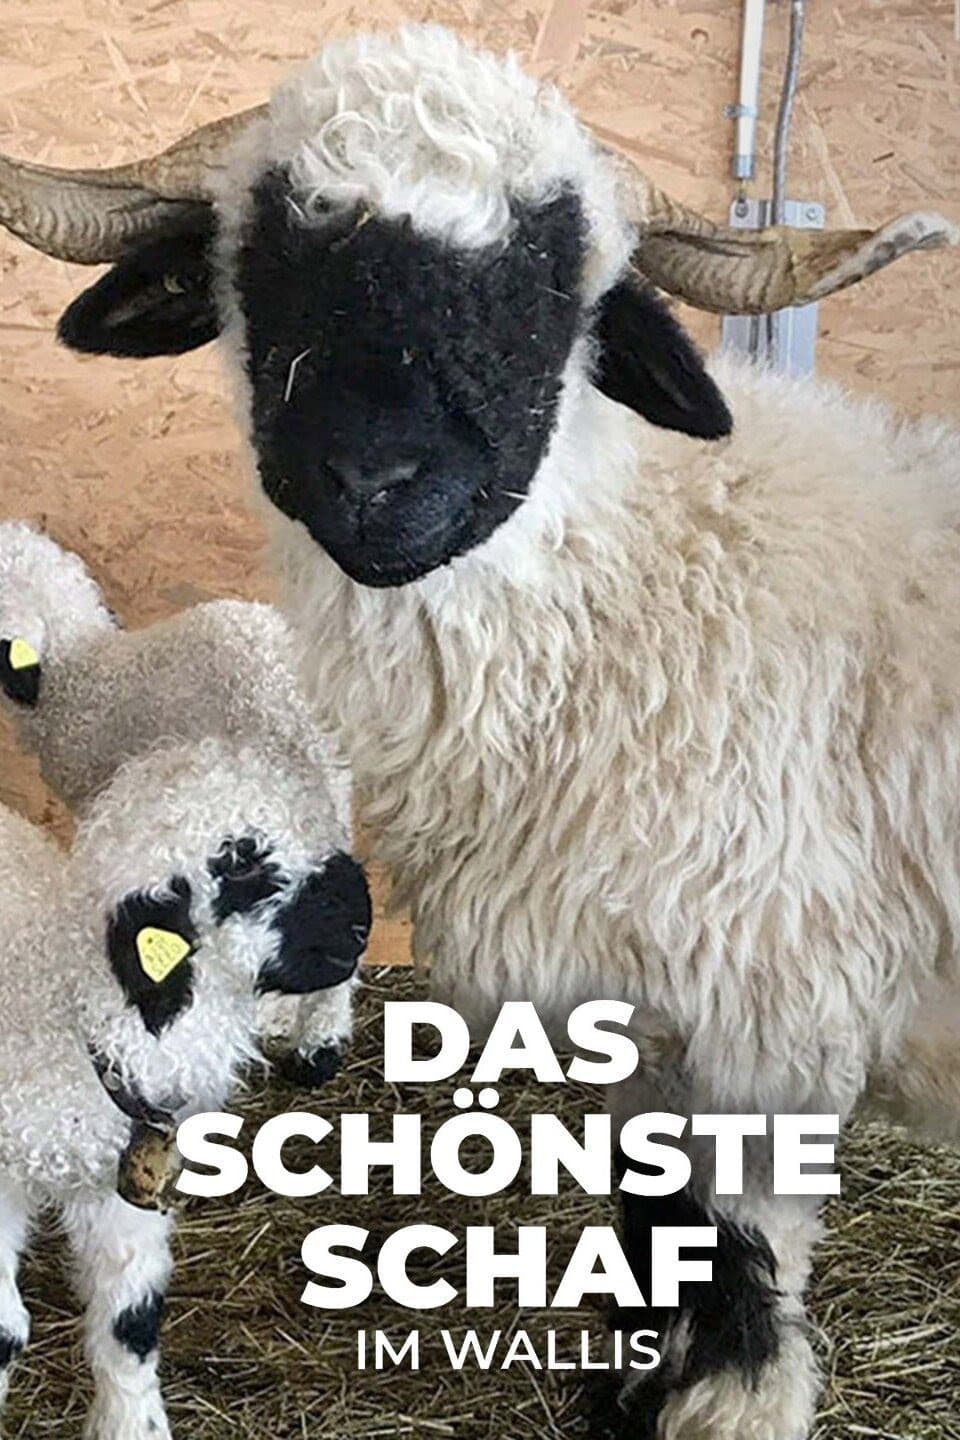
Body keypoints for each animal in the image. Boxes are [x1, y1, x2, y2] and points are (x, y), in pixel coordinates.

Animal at [0, 732, 370, 1440]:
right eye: (241, 863)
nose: (362, 920)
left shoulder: (116, 1184)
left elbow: (131, 1324)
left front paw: (132, 1425)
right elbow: (4, 1332)